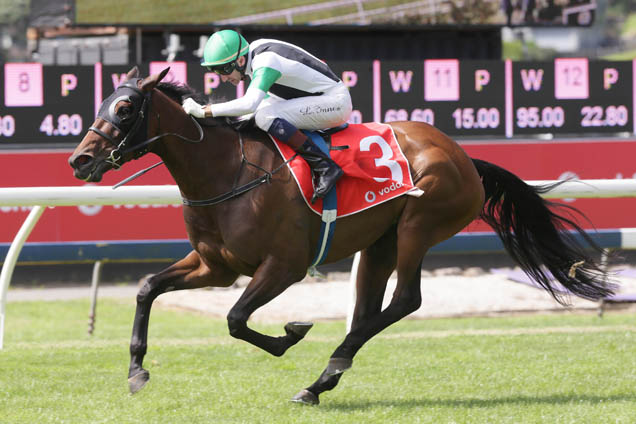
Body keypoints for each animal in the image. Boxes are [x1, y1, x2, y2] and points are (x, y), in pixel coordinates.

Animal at [68, 66, 612, 404]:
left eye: (126, 108)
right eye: (103, 102)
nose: (79, 160)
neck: (226, 171)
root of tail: (463, 156)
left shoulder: (283, 266)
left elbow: (236, 319)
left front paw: (291, 333)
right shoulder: (215, 265)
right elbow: (147, 289)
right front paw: (136, 371)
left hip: (419, 224)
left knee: (405, 301)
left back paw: (325, 370)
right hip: (380, 242)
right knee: (371, 309)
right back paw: (323, 380)